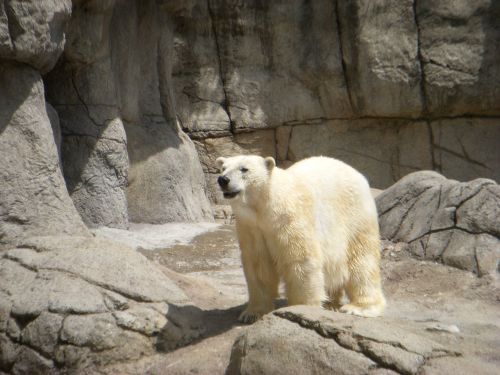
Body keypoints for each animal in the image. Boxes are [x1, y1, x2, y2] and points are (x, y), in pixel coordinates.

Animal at [216, 155, 386, 324]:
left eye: (244, 169)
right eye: (223, 168)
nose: (223, 179)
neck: (265, 206)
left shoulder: (289, 219)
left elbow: (300, 259)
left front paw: (301, 309)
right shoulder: (251, 227)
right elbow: (259, 265)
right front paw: (251, 314)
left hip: (355, 215)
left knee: (362, 260)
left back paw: (359, 307)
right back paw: (331, 303)